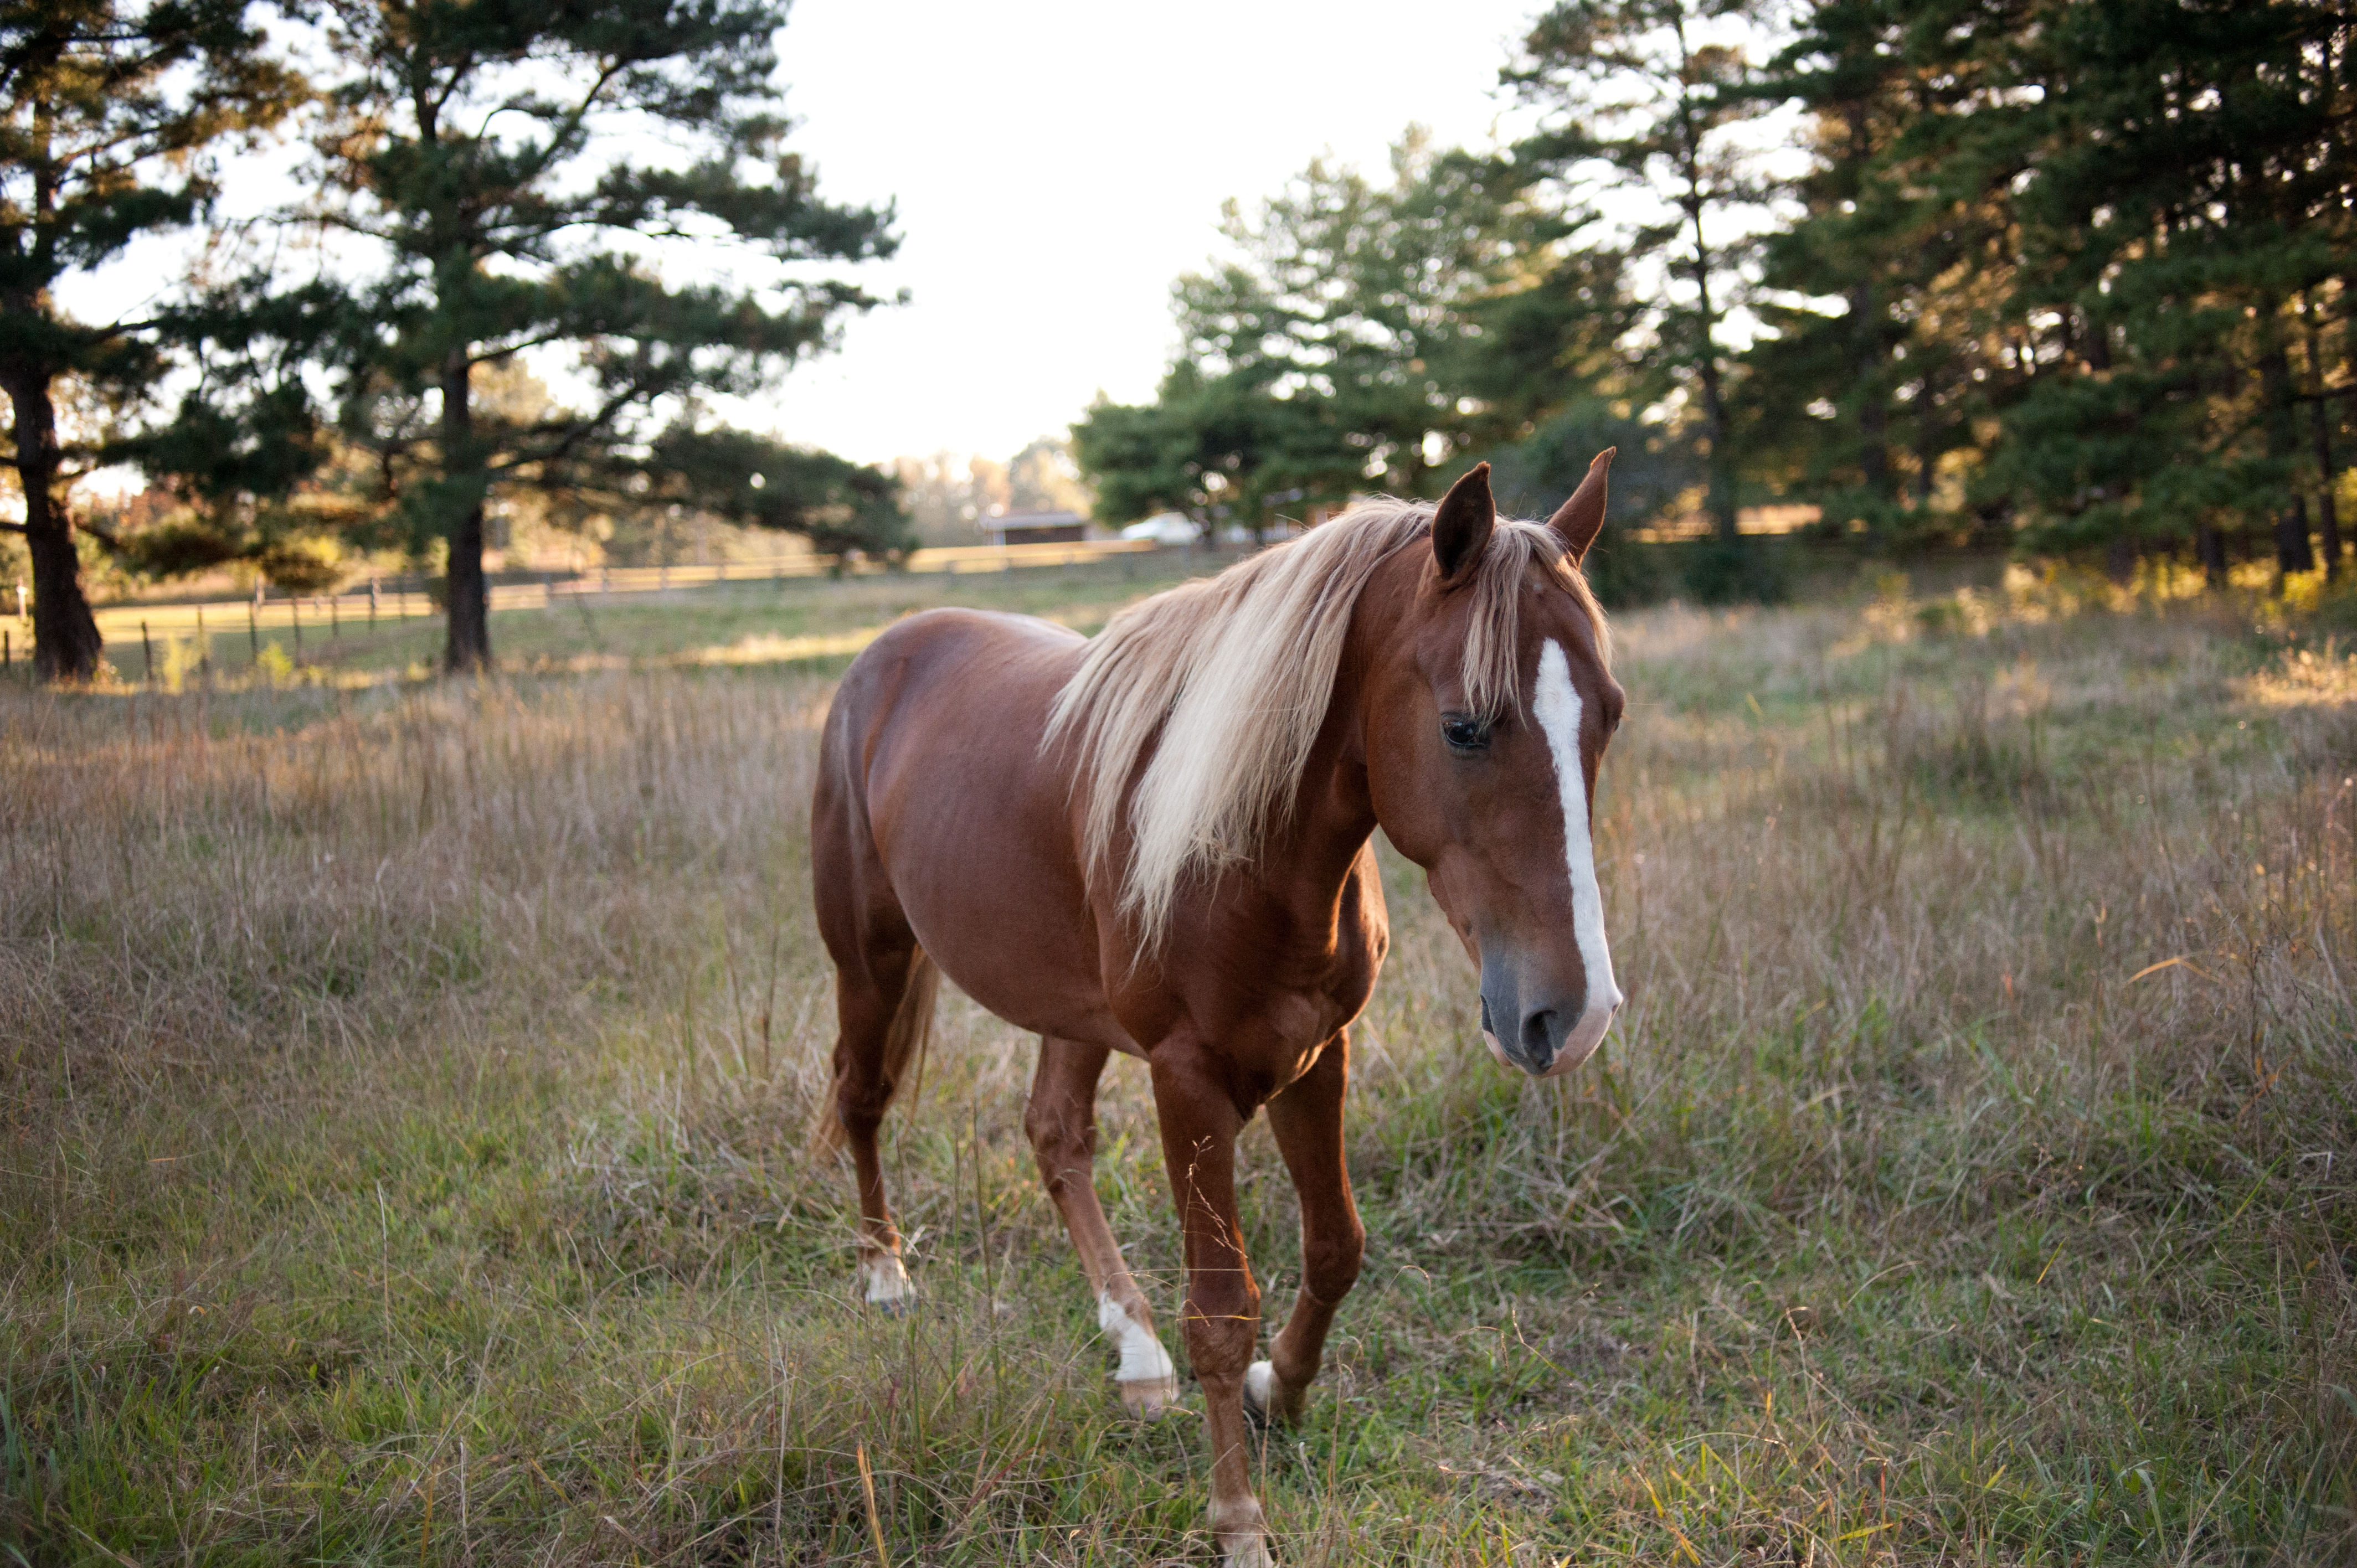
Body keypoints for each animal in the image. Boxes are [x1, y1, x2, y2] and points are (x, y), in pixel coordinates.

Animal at [811, 450, 1622, 1556]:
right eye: (1464, 727)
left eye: (1609, 714)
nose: (1572, 1016)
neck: (1246, 845)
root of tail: (887, 652)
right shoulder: (1188, 1080)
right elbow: (1221, 1308)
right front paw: (1240, 1523)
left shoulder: (1320, 1053)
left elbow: (1335, 1248)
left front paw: (1280, 1390)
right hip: (873, 961)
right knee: (862, 1097)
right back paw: (886, 1275)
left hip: (1070, 1009)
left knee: (1055, 1136)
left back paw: (1133, 1346)